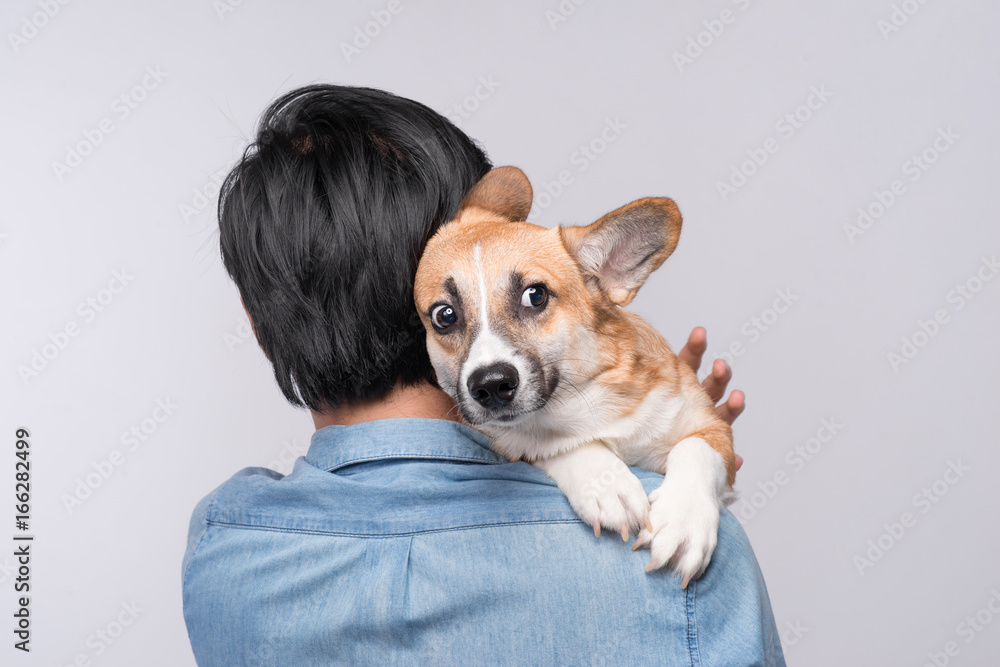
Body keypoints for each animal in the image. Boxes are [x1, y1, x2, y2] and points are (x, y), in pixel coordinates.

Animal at [412, 168, 736, 588]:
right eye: (444, 316)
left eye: (535, 295)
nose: (491, 385)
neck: (584, 402)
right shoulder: (510, 440)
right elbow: (550, 444)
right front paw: (606, 484)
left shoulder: (711, 427)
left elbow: (696, 449)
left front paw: (684, 521)